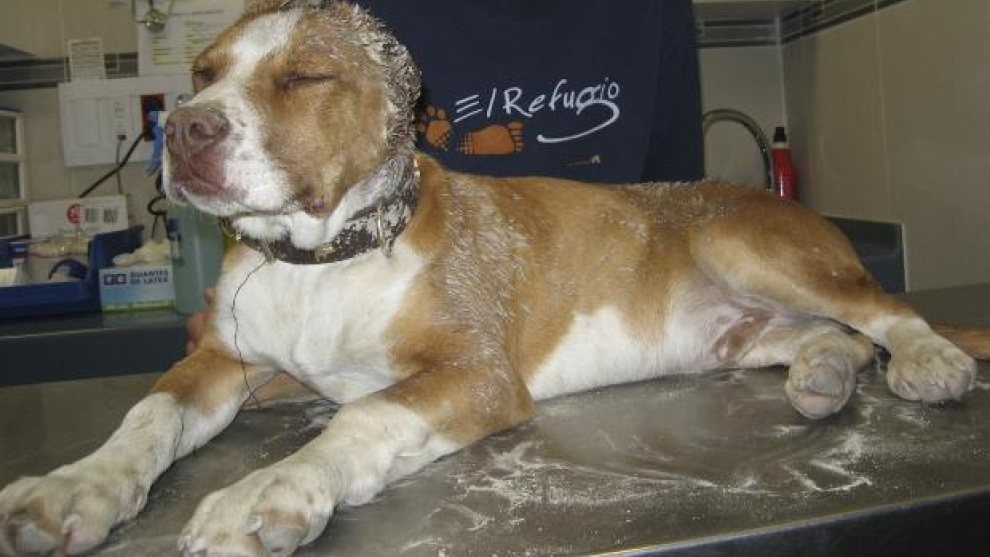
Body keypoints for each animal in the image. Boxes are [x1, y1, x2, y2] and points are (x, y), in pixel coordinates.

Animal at [2, 1, 988, 555]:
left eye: (306, 77)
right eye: (203, 73)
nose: (186, 130)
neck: (326, 254)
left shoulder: (473, 374)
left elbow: (362, 415)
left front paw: (266, 490)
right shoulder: (223, 362)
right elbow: (148, 416)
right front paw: (74, 487)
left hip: (748, 246)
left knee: (884, 309)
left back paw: (928, 360)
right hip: (743, 329)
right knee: (832, 336)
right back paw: (822, 375)